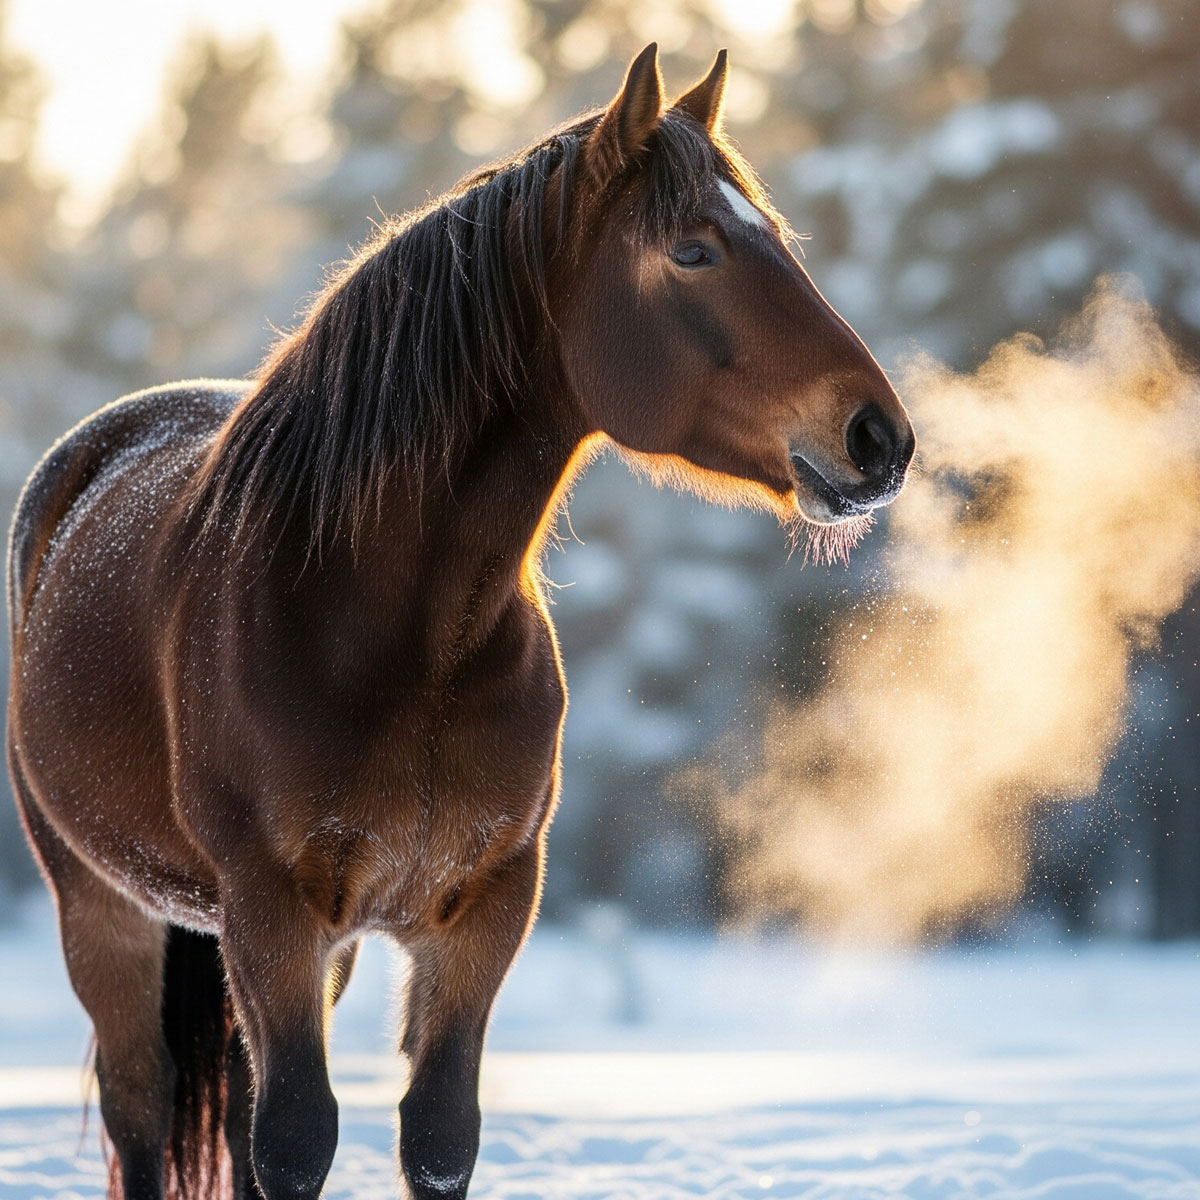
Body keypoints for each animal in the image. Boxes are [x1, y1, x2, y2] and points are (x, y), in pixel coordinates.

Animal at [7, 44, 913, 1200]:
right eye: (693, 250)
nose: (878, 437)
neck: (397, 635)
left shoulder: (480, 909)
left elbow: (435, 1137)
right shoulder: (270, 911)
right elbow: (296, 1142)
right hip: (103, 907)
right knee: (140, 1112)